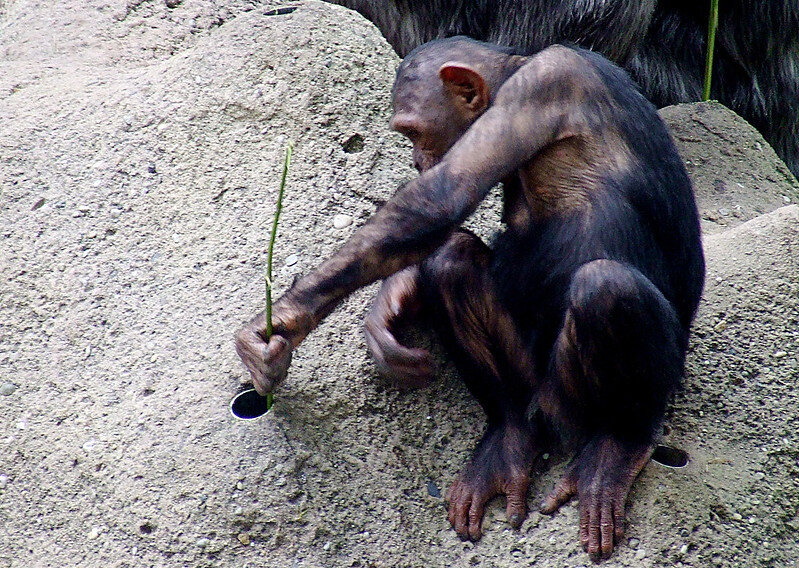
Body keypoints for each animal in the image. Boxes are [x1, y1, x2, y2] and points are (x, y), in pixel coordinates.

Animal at [236, 37, 708, 560]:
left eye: (411, 131)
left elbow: (441, 197)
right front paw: (391, 301)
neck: (514, 70)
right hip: (536, 389)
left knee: (606, 288)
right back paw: (508, 440)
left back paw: (616, 448)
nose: (416, 159)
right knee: (453, 262)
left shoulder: (543, 87)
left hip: (582, 399)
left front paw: (283, 321)